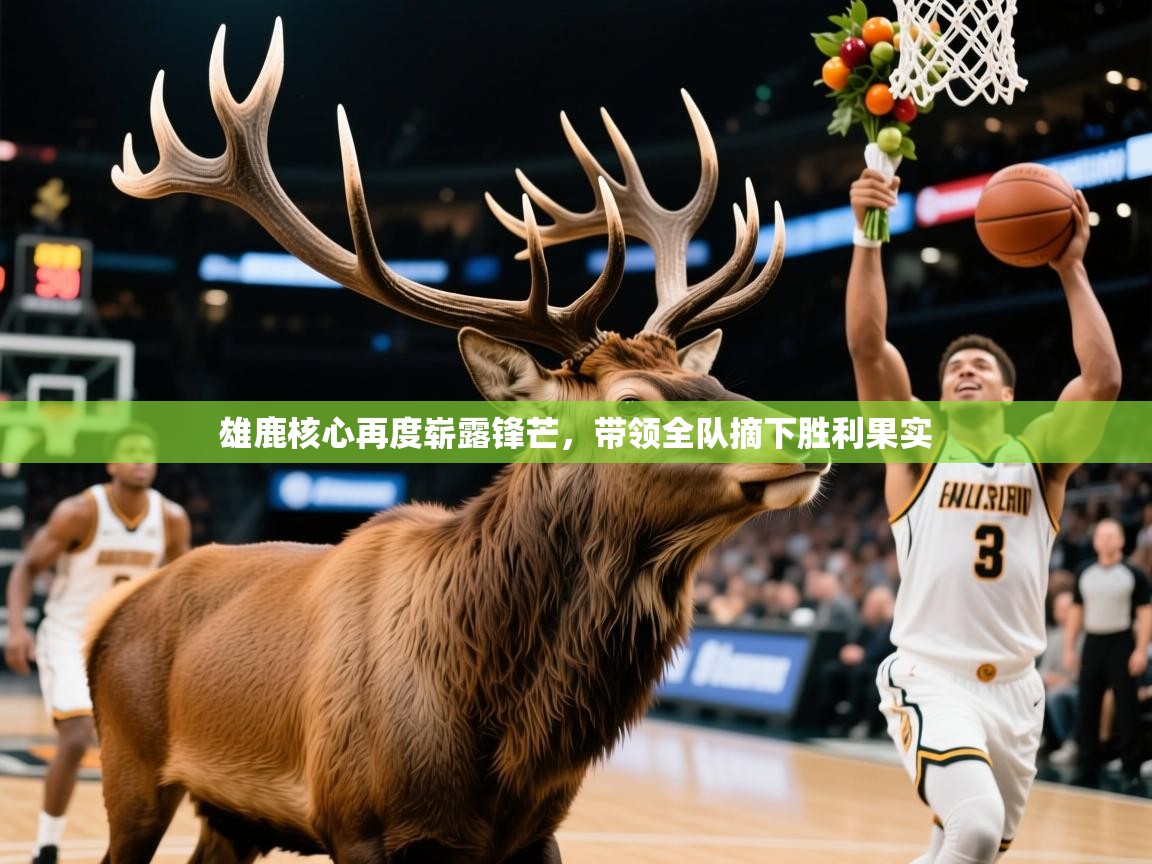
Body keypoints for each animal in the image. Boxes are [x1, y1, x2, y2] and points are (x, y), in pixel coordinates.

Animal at [87, 18, 827, 864]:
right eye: (632, 402)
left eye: (706, 374)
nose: (806, 430)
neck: (496, 734)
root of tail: (110, 616)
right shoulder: (361, 820)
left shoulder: (537, 831)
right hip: (130, 762)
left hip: (231, 814)